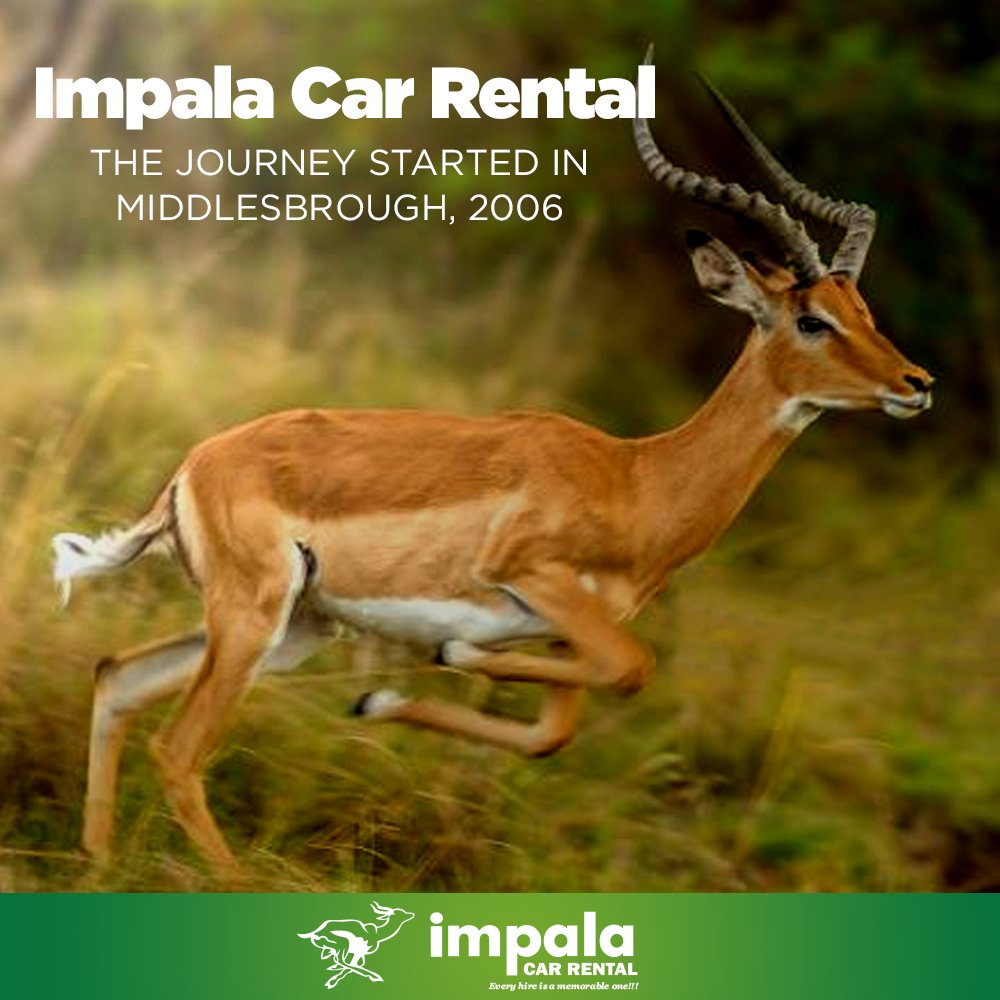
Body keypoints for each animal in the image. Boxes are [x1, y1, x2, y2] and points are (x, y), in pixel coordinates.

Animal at [52, 61, 932, 878]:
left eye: (864, 312)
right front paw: (444, 661)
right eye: (811, 319)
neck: (636, 479)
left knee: (115, 677)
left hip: (293, 627)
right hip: (253, 620)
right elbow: (628, 669)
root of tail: (191, 468)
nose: (916, 384)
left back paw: (97, 863)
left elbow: (555, 731)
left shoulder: (570, 630)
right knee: (177, 750)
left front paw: (384, 696)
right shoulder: (533, 581)